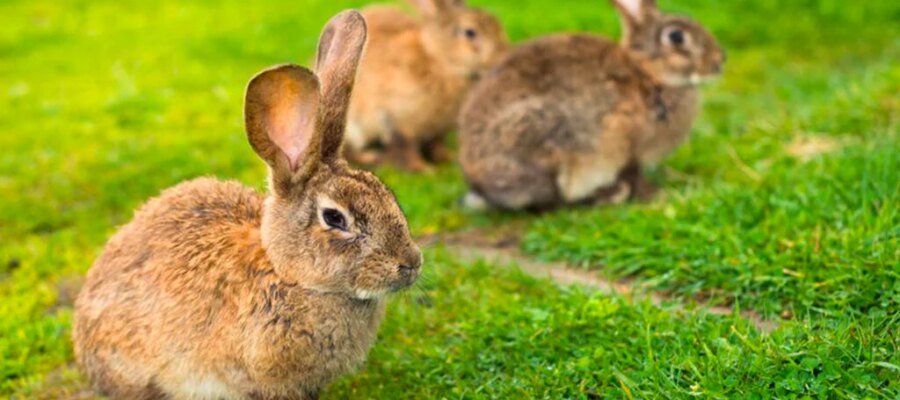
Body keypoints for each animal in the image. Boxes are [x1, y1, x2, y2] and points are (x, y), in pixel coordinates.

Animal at [345, 0, 509, 172]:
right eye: (470, 32)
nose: (504, 55)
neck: (440, 60)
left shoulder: (437, 129)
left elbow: (437, 144)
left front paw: (448, 159)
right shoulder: (399, 119)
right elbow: (407, 146)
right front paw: (423, 169)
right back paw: (370, 157)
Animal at [458, 0, 725, 210]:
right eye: (676, 36)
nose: (720, 61)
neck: (648, 73)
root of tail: (479, 185)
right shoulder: (626, 143)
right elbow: (633, 172)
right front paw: (655, 195)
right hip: (544, 138)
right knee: (556, 201)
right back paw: (608, 195)